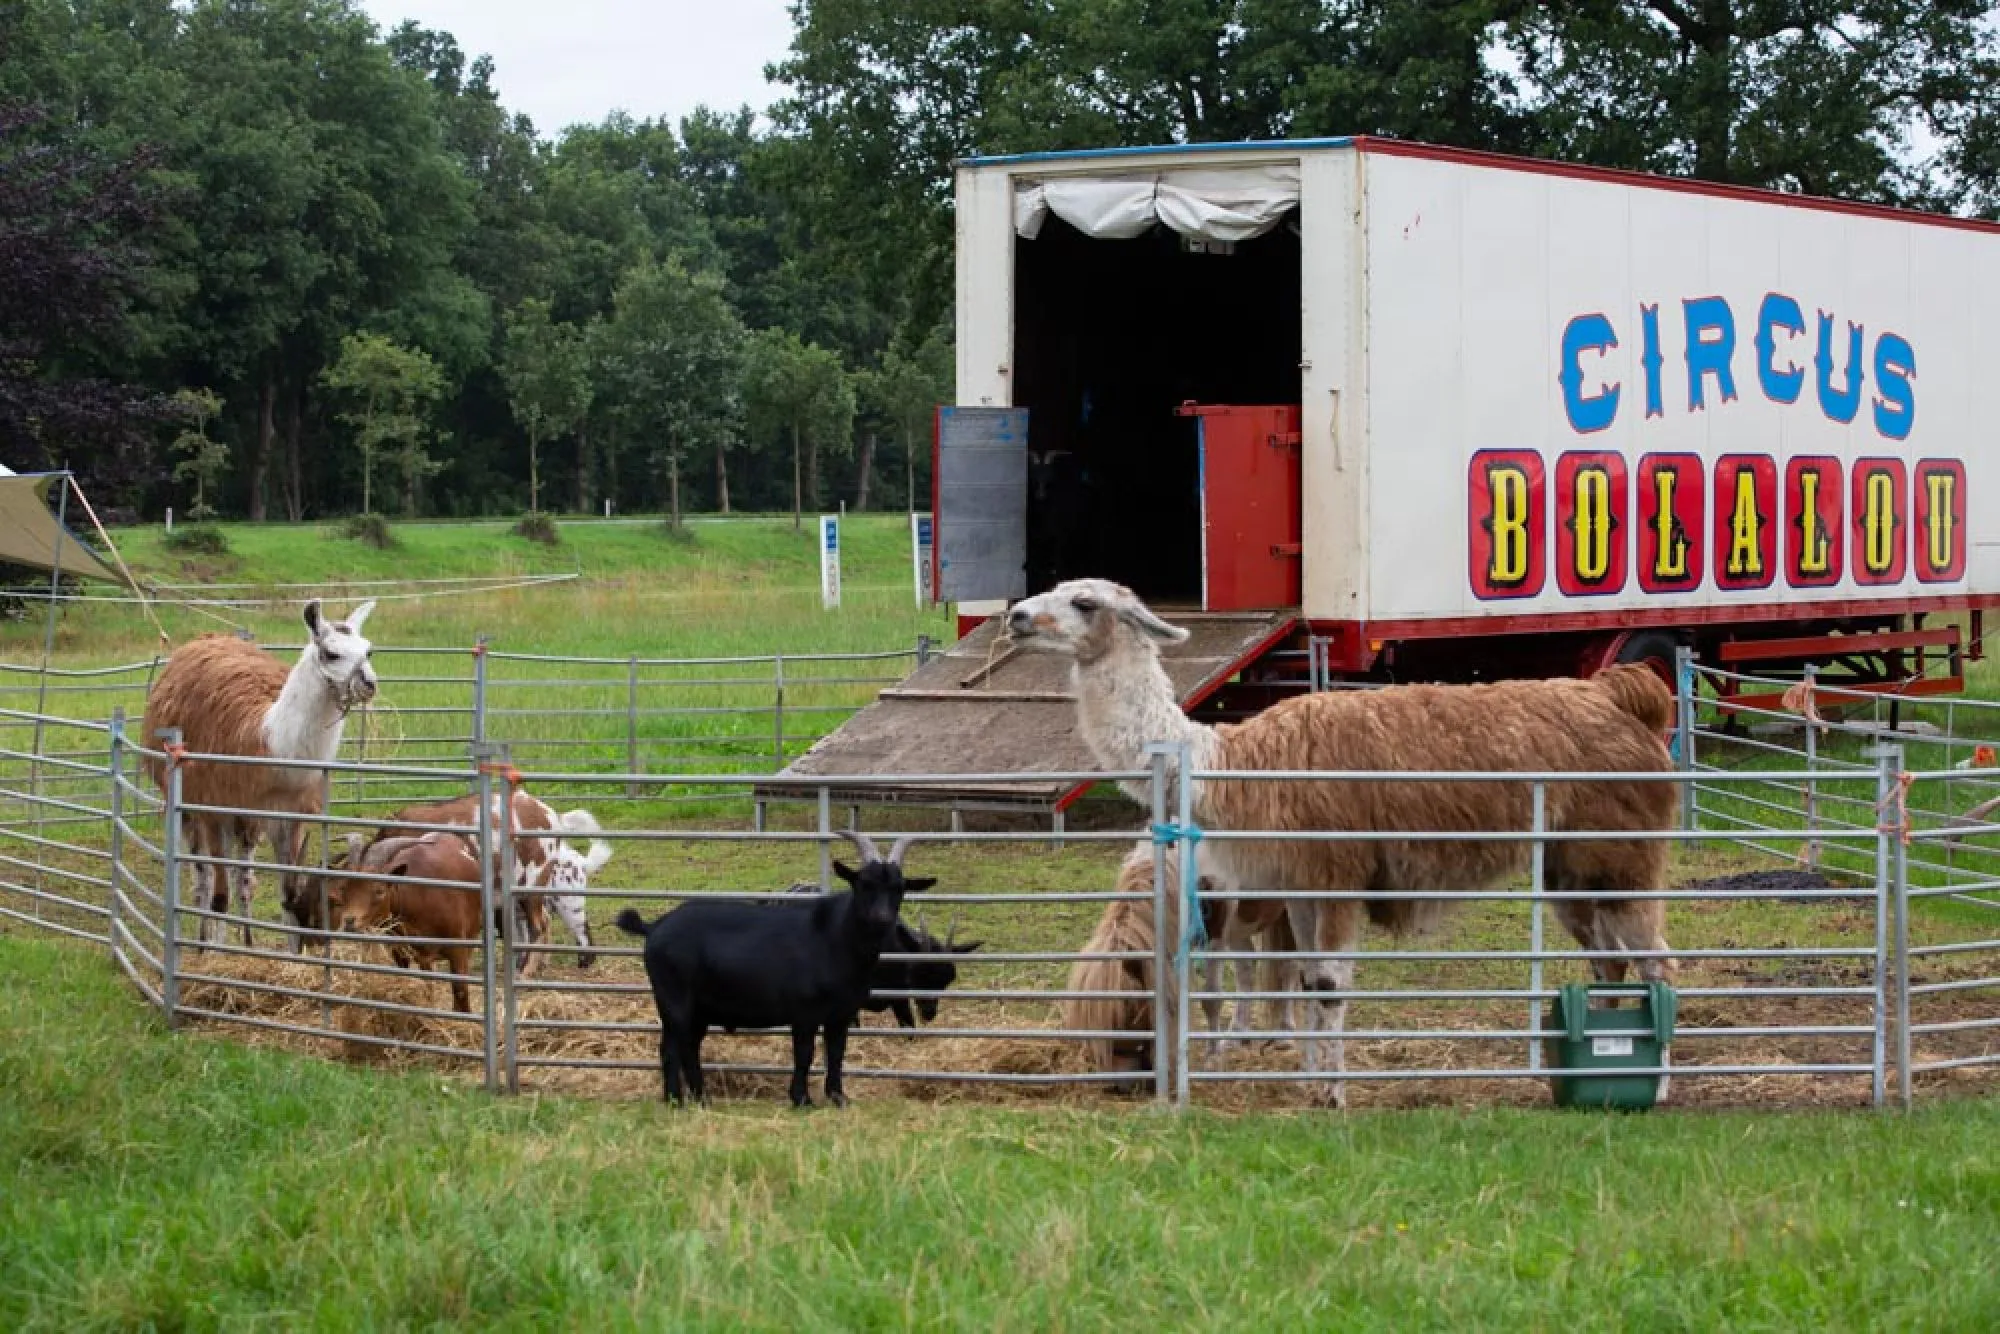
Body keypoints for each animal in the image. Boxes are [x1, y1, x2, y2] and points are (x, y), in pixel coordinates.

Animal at [612, 836, 932, 1104]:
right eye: (864, 884)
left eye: (900, 888)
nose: (882, 918)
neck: (835, 937)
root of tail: (654, 927)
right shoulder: (804, 1013)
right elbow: (804, 1054)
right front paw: (801, 1099)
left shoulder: (841, 1014)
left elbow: (836, 1053)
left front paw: (838, 1097)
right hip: (673, 1000)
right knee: (670, 1048)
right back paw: (674, 1101)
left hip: (698, 1010)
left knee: (689, 1047)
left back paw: (702, 1098)